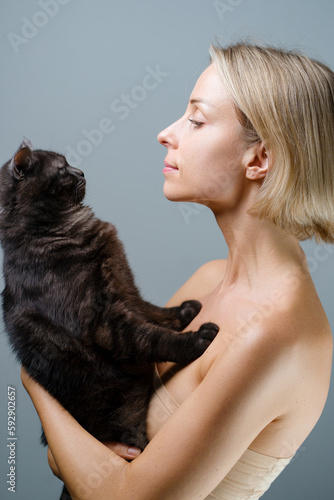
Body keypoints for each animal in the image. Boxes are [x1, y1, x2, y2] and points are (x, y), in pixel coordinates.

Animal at [0, 139, 219, 498]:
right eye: (61, 170)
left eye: (69, 163)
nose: (80, 172)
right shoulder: (102, 322)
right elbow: (153, 337)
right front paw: (196, 340)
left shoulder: (124, 289)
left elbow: (153, 311)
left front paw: (186, 311)